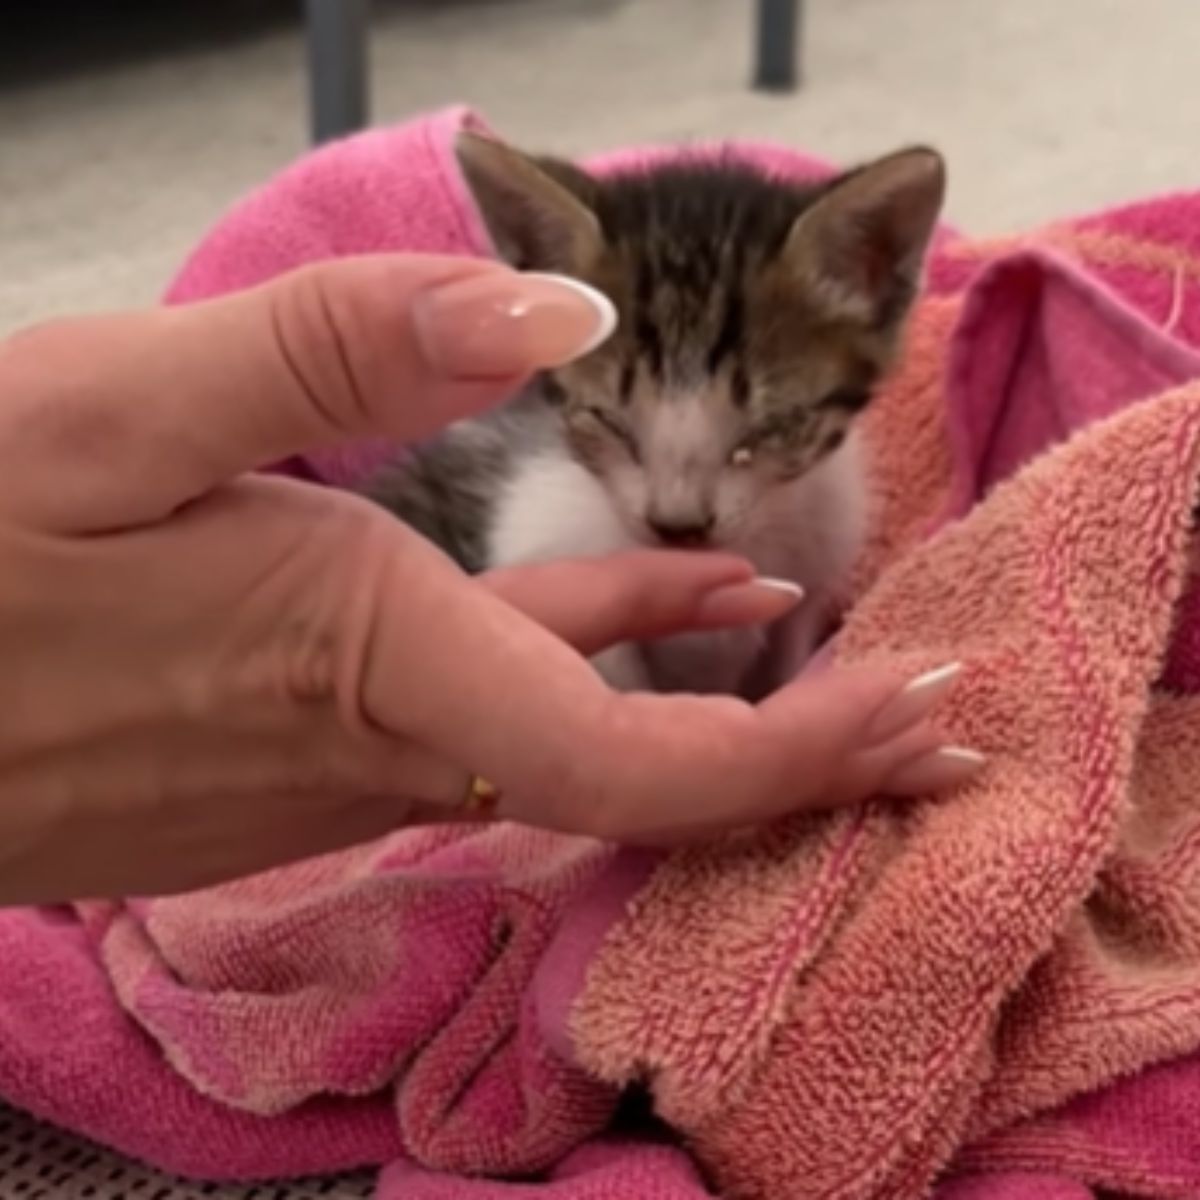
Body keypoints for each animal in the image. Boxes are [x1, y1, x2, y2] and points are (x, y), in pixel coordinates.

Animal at [360, 131, 940, 696]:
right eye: (608, 420)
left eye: (770, 425)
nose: (678, 528)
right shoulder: (539, 537)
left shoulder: (814, 567)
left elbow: (787, 658)